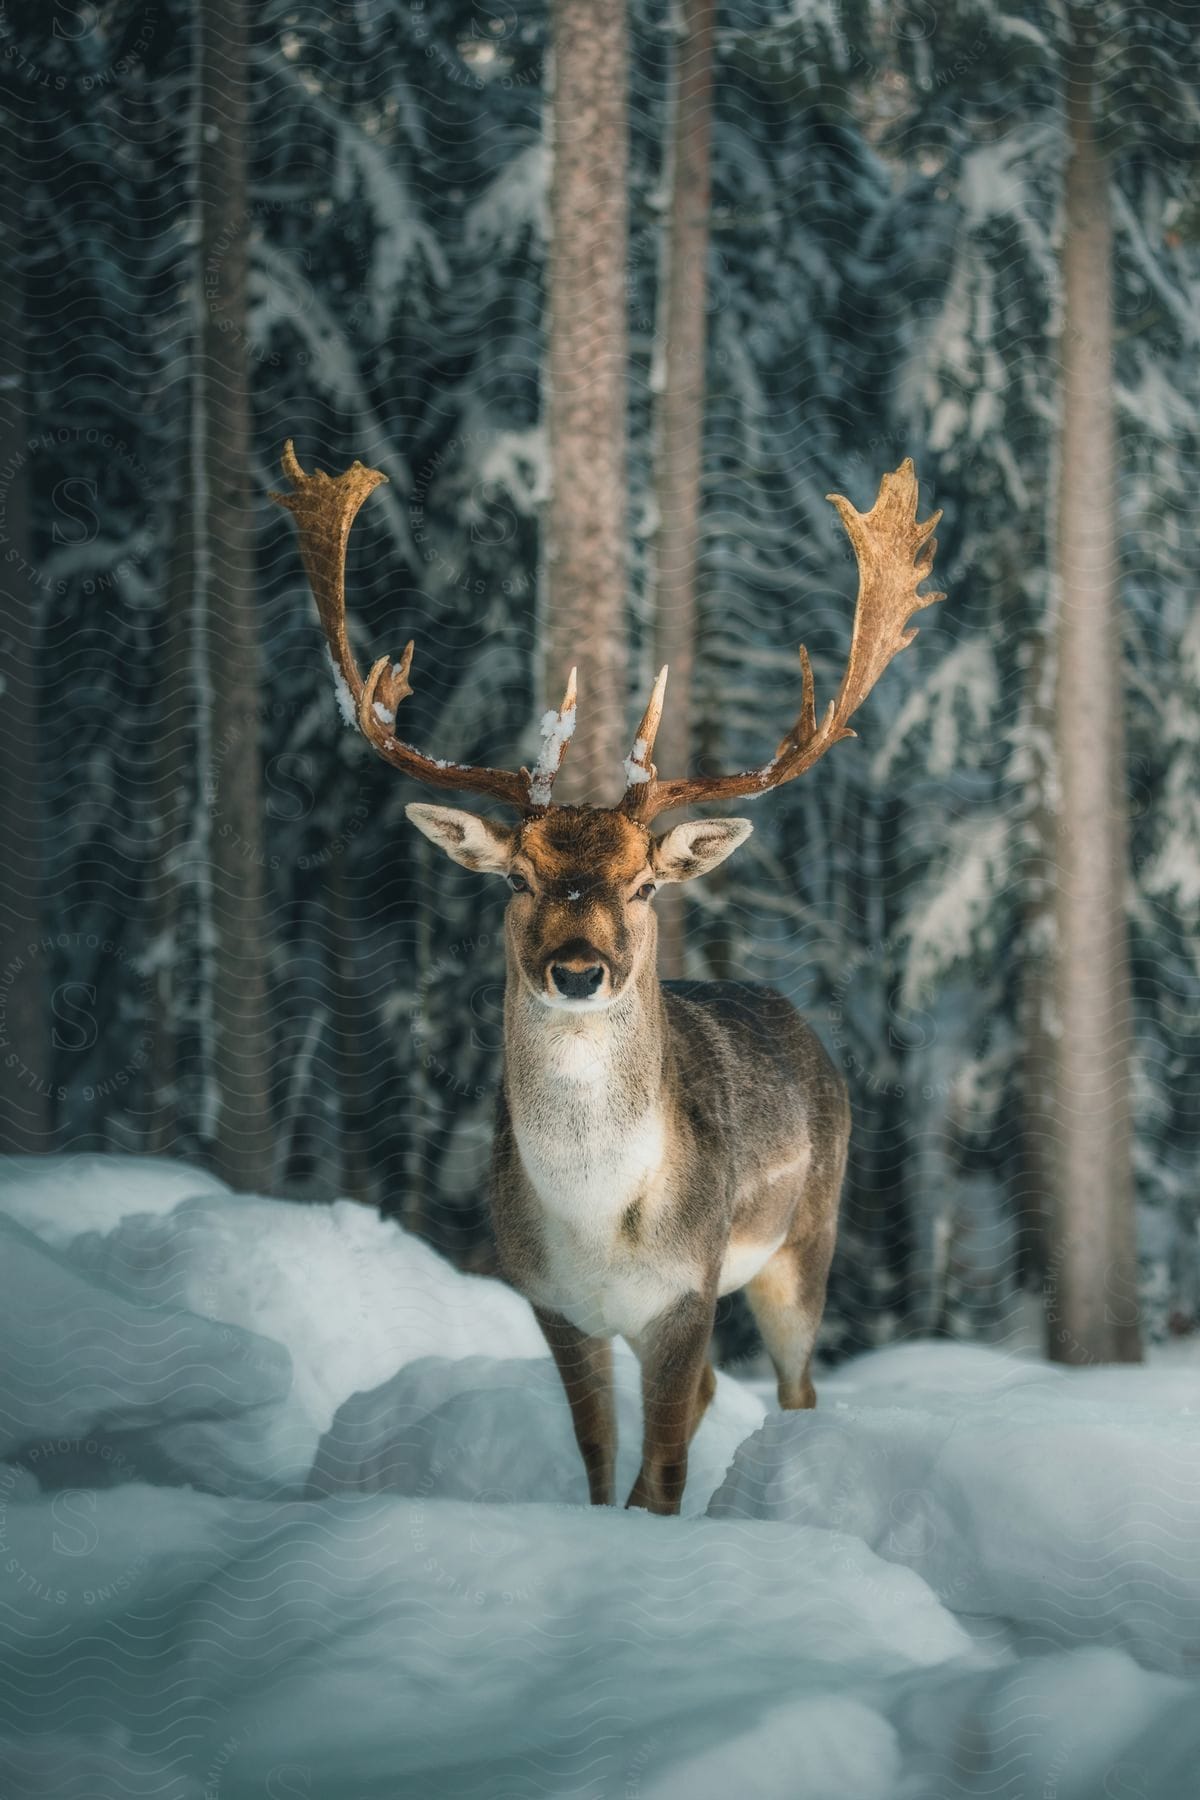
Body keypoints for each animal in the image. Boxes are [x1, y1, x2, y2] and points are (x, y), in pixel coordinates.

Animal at [277, 442, 942, 1512]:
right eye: (517, 877)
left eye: (642, 884)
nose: (578, 970)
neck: (598, 1224)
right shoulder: (552, 1303)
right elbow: (599, 1459)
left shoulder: (687, 1290)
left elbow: (662, 1472)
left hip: (807, 1236)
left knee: (796, 1384)